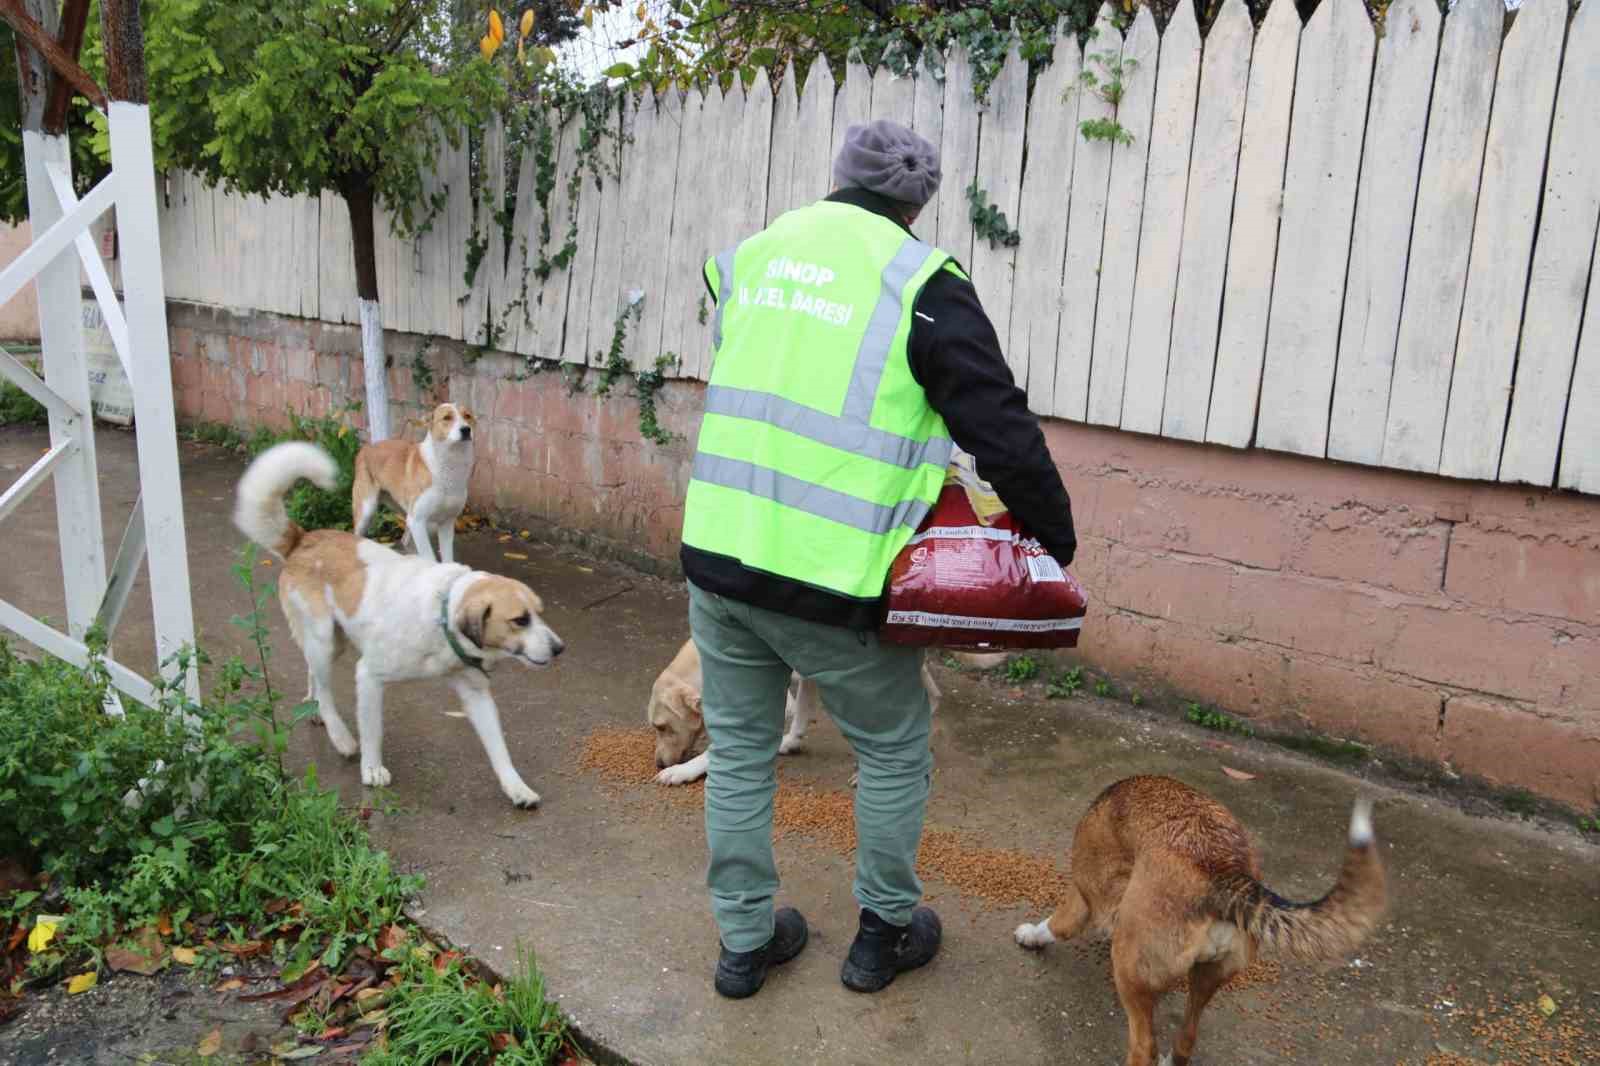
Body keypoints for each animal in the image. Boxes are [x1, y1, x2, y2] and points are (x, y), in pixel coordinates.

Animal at [233, 438, 563, 806]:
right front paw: (371, 769)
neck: (442, 614)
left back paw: (314, 708)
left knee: (315, 677)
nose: (560, 648)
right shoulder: (369, 676)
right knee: (326, 691)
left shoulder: (476, 695)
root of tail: (303, 539)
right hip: (324, 639)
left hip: (334, 642)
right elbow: (372, 732)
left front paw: (516, 787)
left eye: (539, 613)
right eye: (520, 620)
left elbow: (499, 750)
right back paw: (340, 737)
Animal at [352, 400, 470, 563]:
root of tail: (366, 447)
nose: (466, 430)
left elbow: (447, 559)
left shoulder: (446, 522)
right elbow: (429, 558)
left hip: (419, 521)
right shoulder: (417, 520)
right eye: (447, 417)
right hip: (366, 511)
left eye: (468, 416)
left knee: (406, 540)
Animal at [1017, 771, 1382, 1062]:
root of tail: (1224, 871)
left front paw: (1030, 936)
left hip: (1128, 966)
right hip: (1209, 976)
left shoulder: (1084, 897)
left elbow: (1055, 926)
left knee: (1144, 1048)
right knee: (1186, 1040)